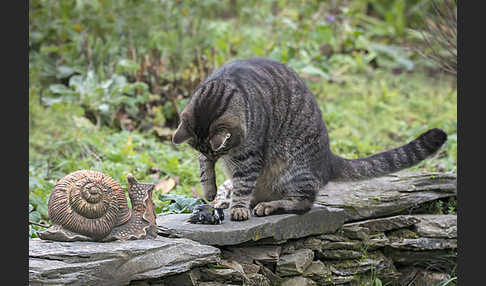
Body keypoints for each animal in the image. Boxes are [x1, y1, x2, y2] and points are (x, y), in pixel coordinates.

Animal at [172, 58, 448, 221]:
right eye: (207, 153)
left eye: (219, 151)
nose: (214, 156)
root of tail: (328, 160)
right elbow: (204, 170)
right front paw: (209, 189)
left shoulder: (249, 156)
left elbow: (242, 183)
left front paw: (237, 206)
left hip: (294, 169)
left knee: (303, 203)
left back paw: (268, 205)